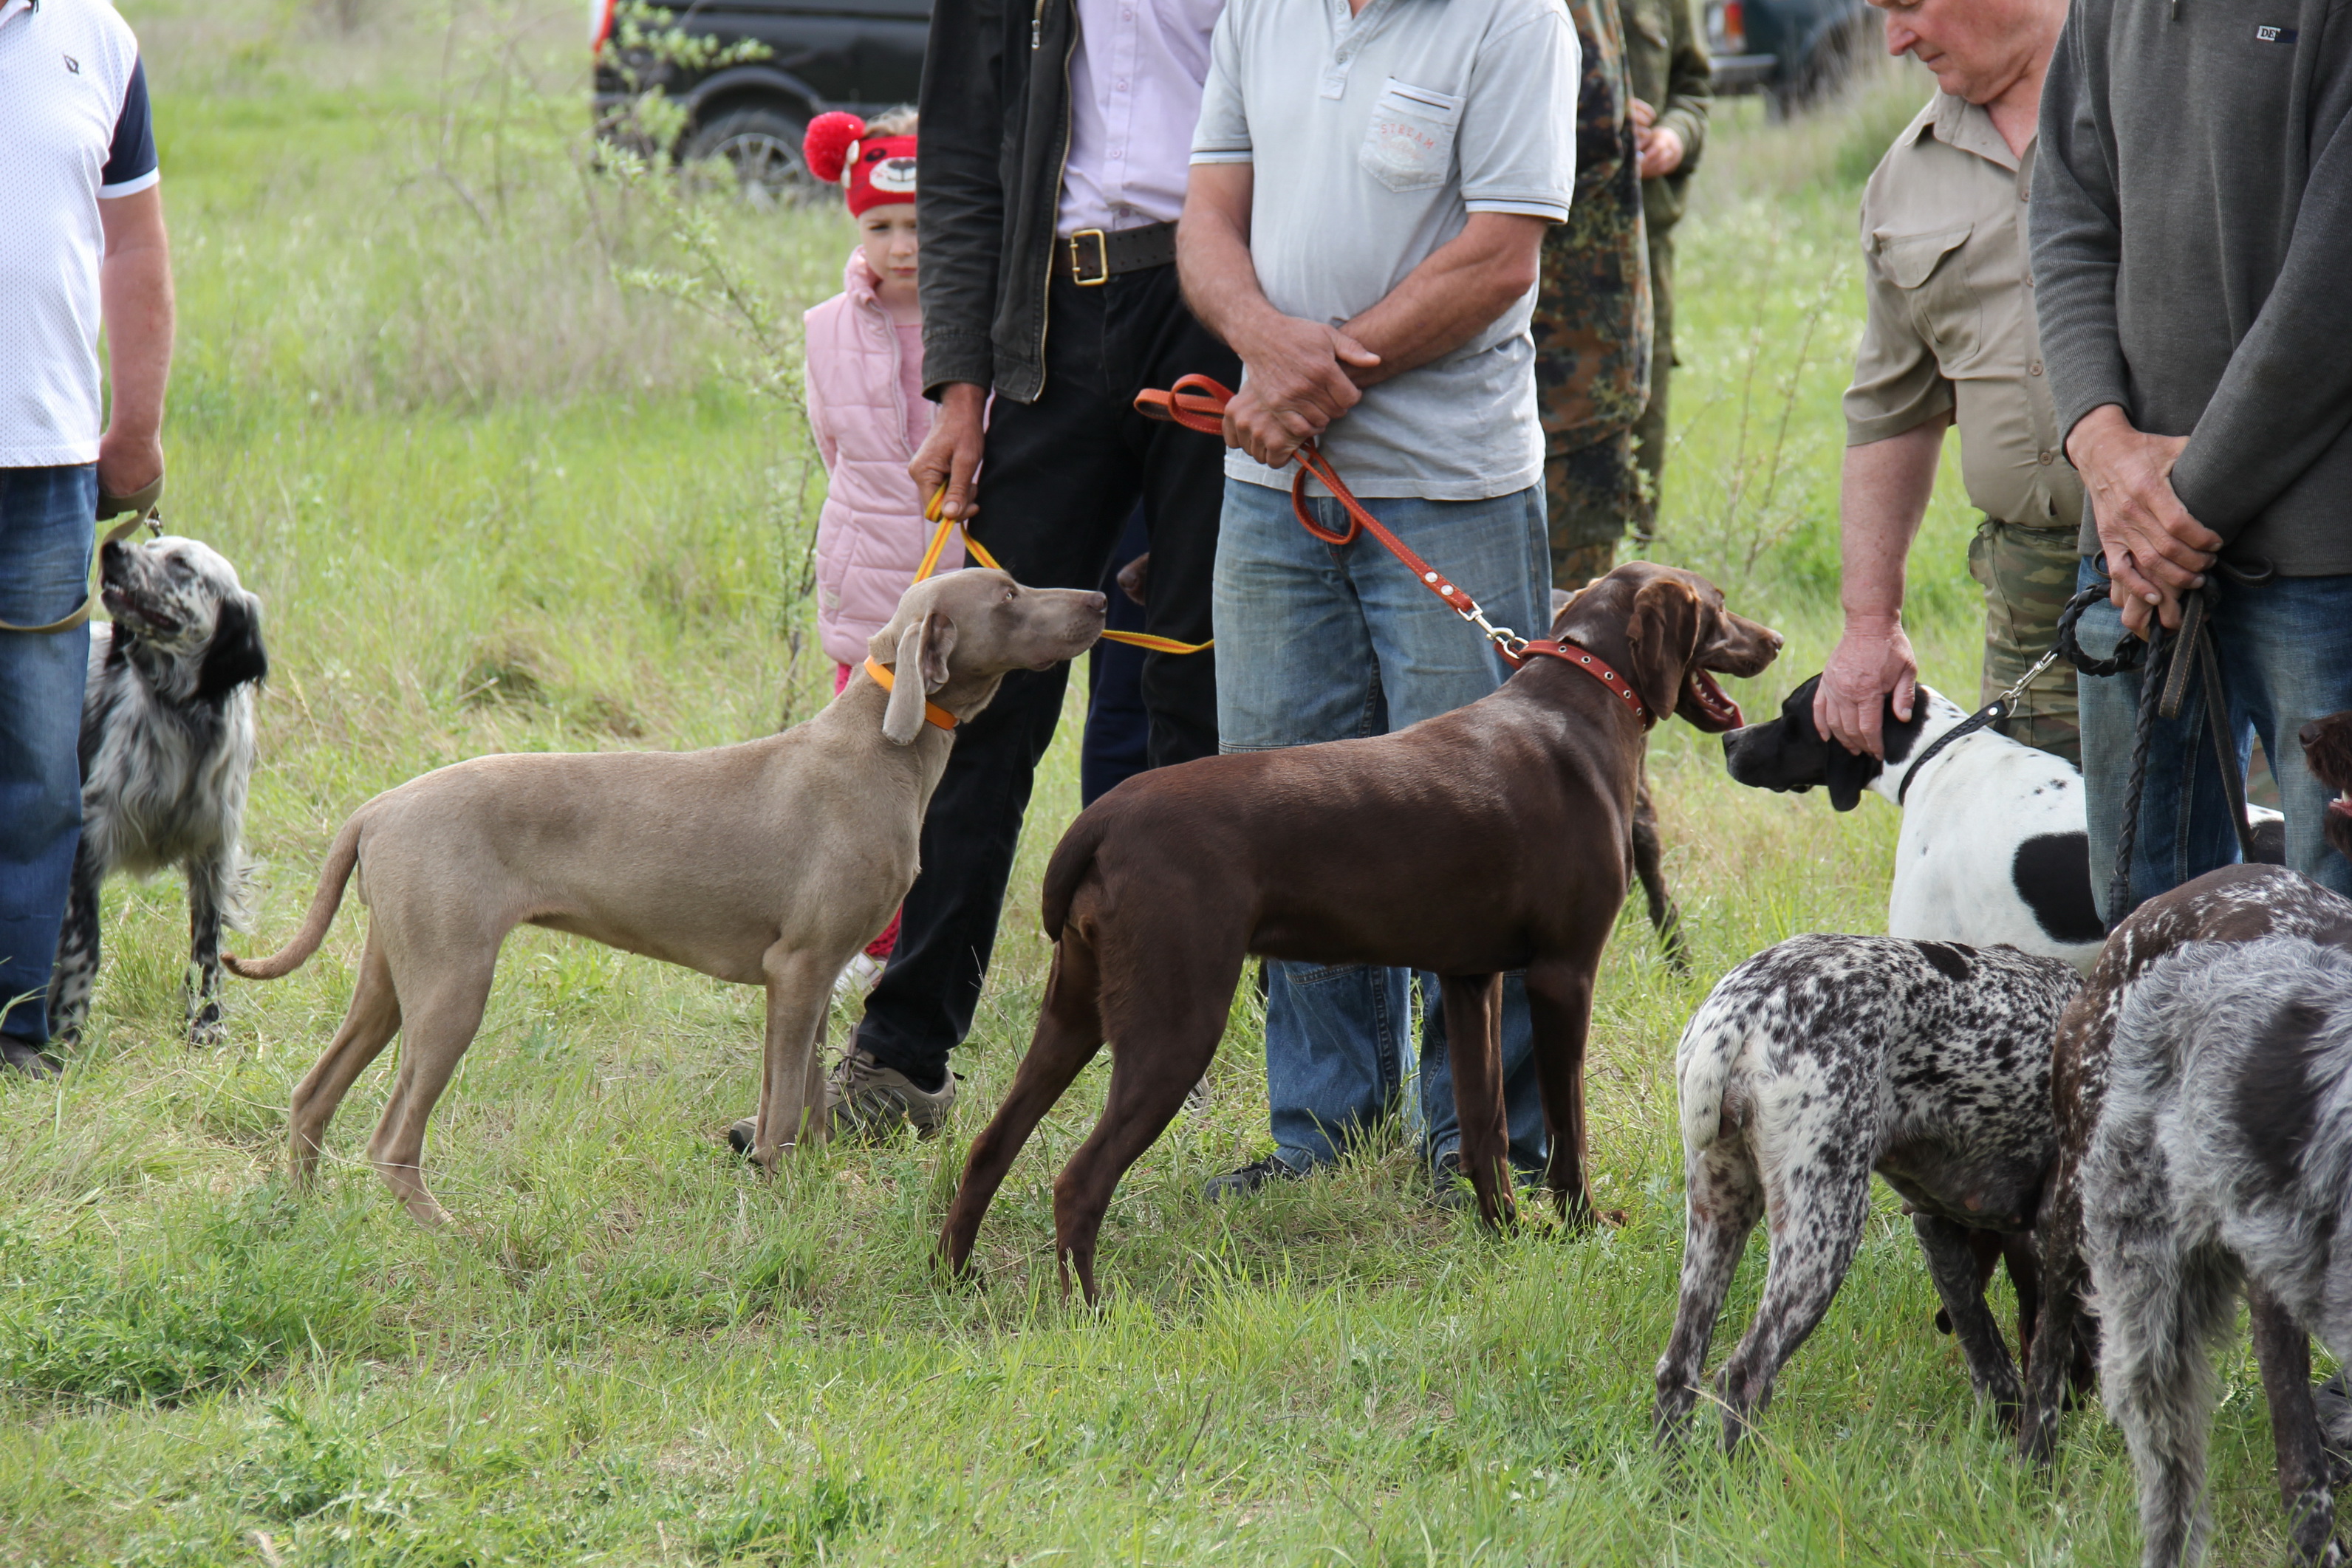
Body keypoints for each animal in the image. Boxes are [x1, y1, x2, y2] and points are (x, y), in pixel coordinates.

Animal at [47, 534, 270, 1047]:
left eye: (181, 564)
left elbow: (207, 947)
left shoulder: (213, 853)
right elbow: (84, 946)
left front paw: (206, 1022)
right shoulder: (87, 845)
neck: (184, 716)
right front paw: (66, 1030)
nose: (112, 547)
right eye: (153, 544)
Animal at [224, 569, 1104, 1226]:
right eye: (1010, 594)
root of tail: (377, 808)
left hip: (391, 973)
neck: (877, 750)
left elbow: (805, 1099)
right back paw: (449, 1232)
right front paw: (780, 1201)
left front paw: (816, 1187)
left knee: (312, 1094)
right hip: (451, 985)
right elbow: (783, 1112)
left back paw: (301, 1216)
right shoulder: (798, 968)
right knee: (390, 1136)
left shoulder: (815, 975)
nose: (1100, 600)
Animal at [937, 562, 1781, 1302]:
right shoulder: (1562, 974)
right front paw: (1581, 1224)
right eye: (1718, 605)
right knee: (1079, 1178)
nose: (1775, 640)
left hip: (1076, 1011)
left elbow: (1482, 1128)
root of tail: (1102, 818)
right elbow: (1566, 1130)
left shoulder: (1469, 978)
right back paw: (1090, 1308)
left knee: (988, 1146)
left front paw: (1505, 1231)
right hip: (1175, 1025)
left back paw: (955, 1275)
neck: (1577, 700)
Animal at [1652, 935, 2080, 1454]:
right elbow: (2046, 1372)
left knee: (1677, 1372)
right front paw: (2037, 1463)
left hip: (1719, 1217)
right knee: (1744, 1376)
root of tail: (1744, 1008)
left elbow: (1988, 1352)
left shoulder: (1938, 1231)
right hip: (1823, 1238)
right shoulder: (2054, 1241)